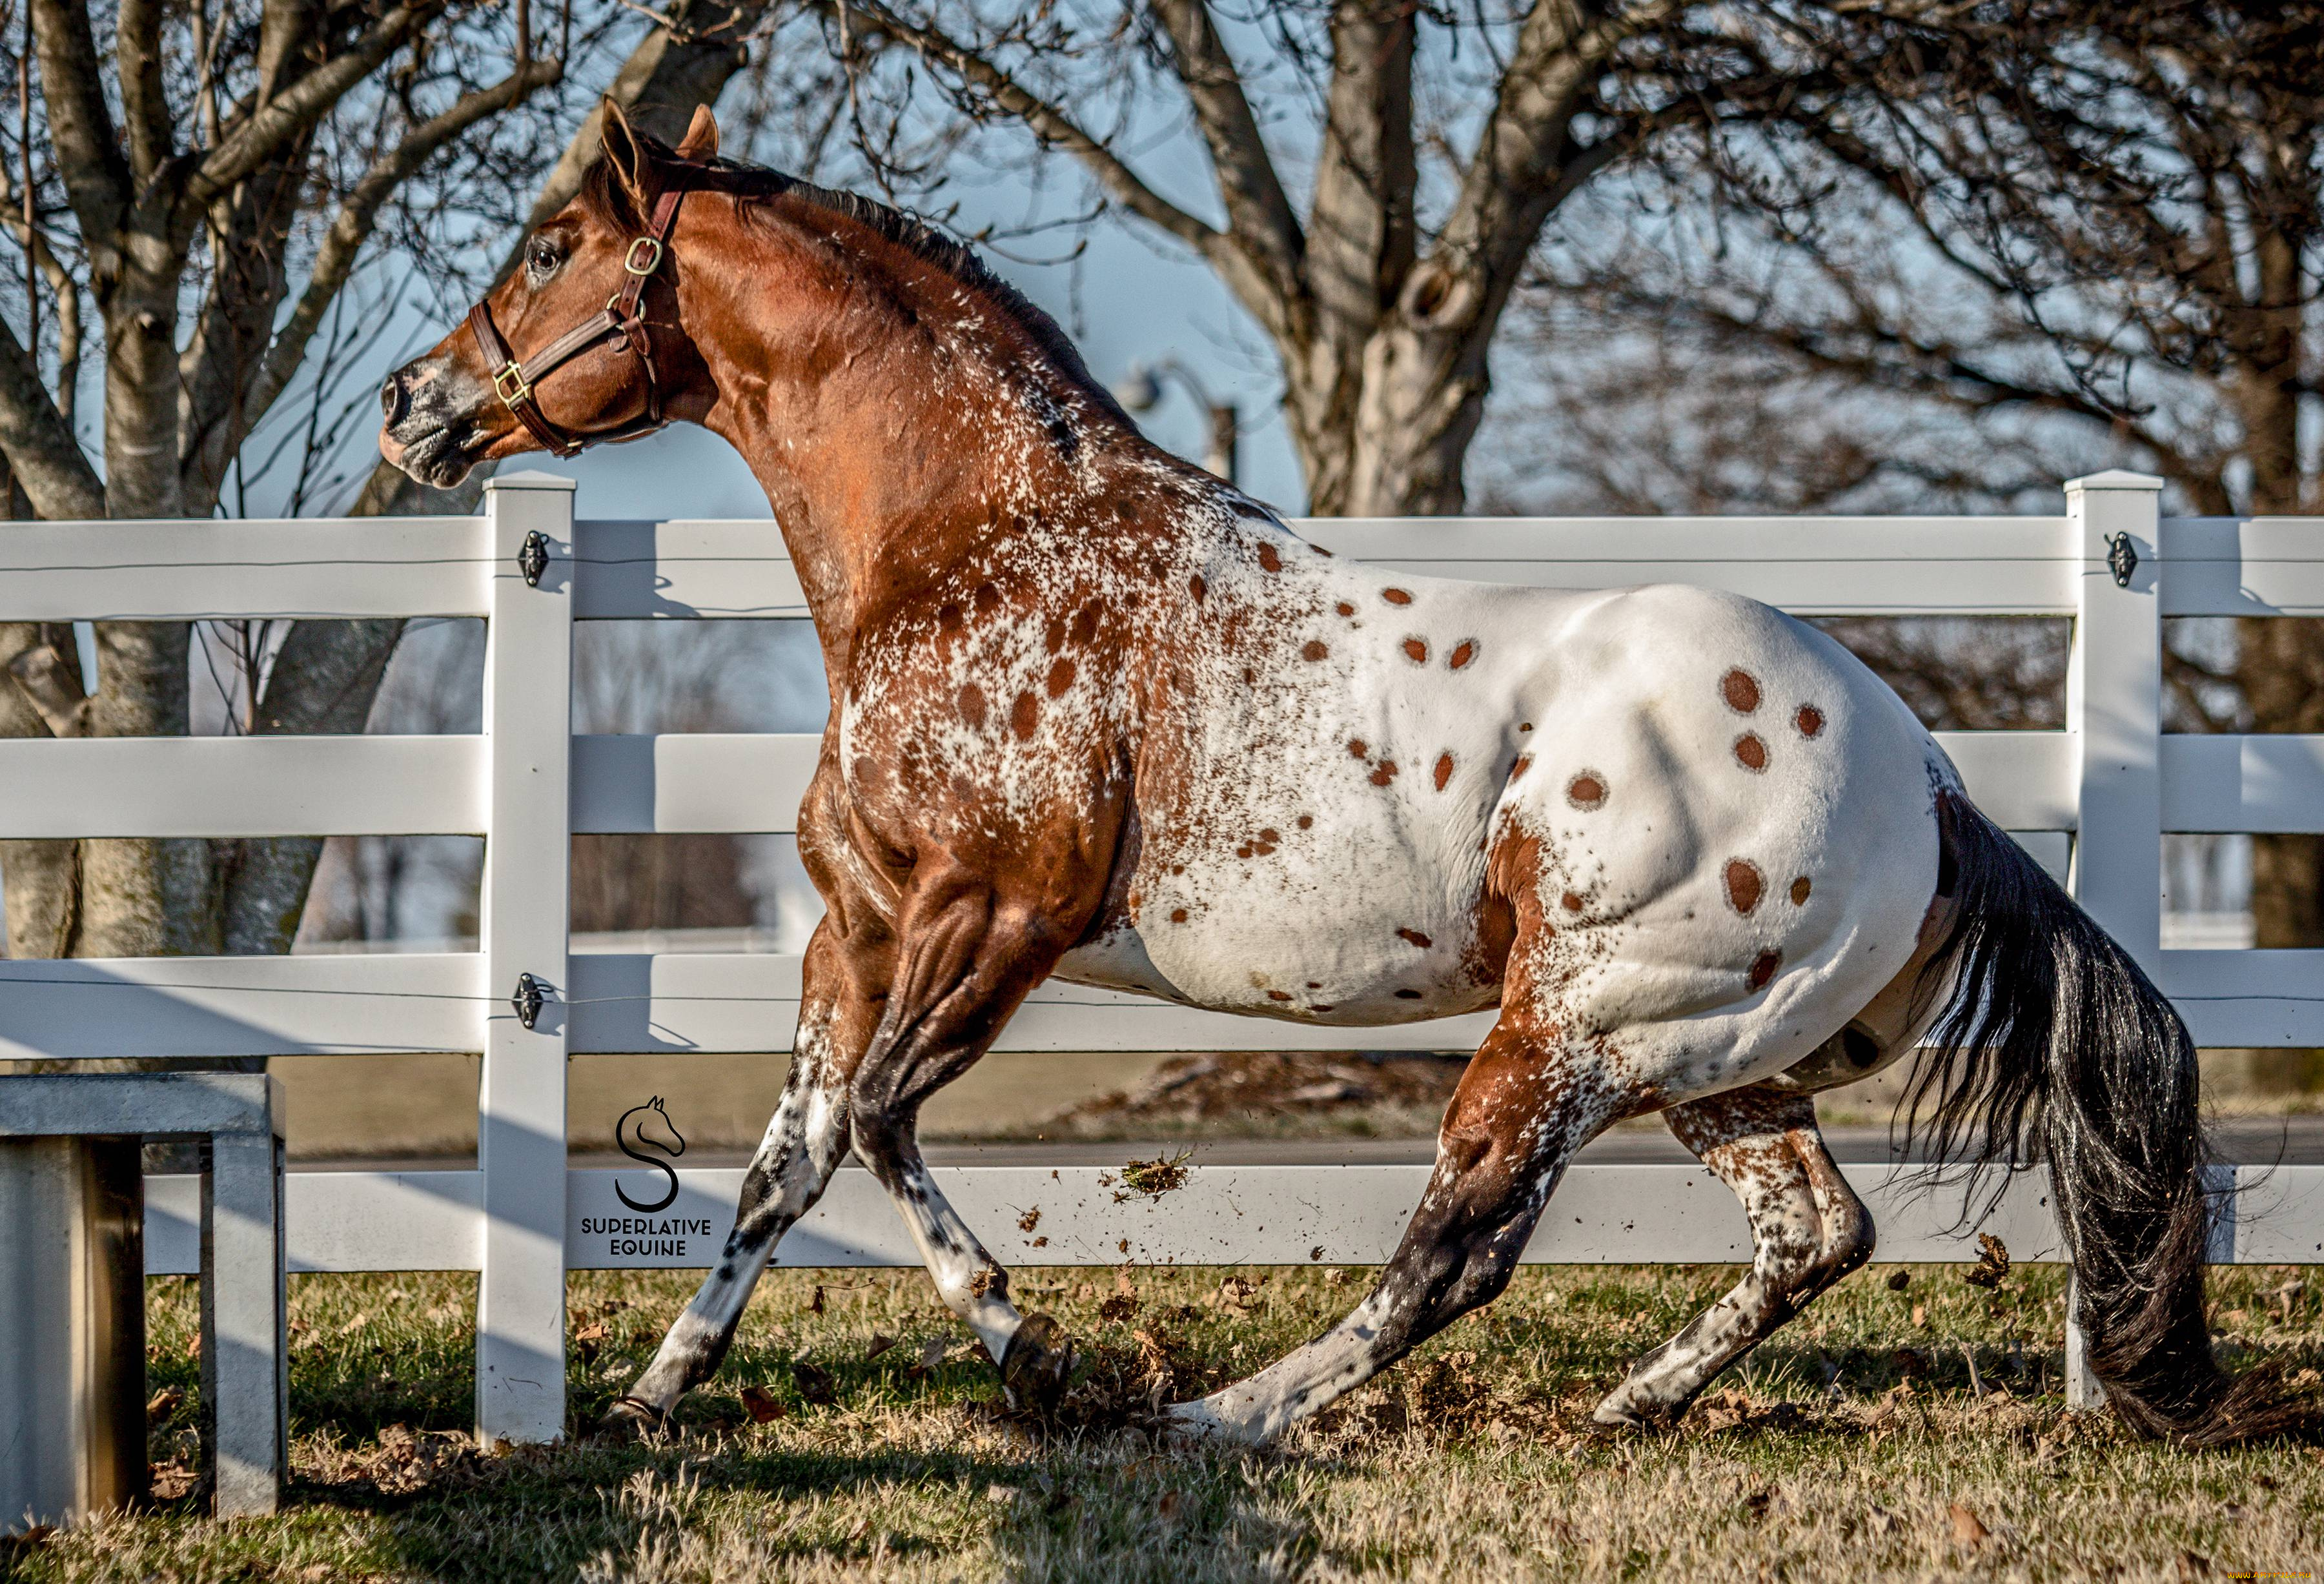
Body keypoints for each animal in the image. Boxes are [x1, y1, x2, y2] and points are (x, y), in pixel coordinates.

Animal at [376, 96, 2287, 1430]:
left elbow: (879, 1123)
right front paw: (652, 1396)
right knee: (1813, 1233)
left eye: (547, 248)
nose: (408, 407)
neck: (973, 548)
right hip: (1711, 1052)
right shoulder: (856, 928)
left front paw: (1048, 1363)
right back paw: (1629, 1401)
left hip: (1578, 1025)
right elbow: (787, 1161)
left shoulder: (990, 918)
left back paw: (1230, 1415)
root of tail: (1929, 778)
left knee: (1459, 1245)